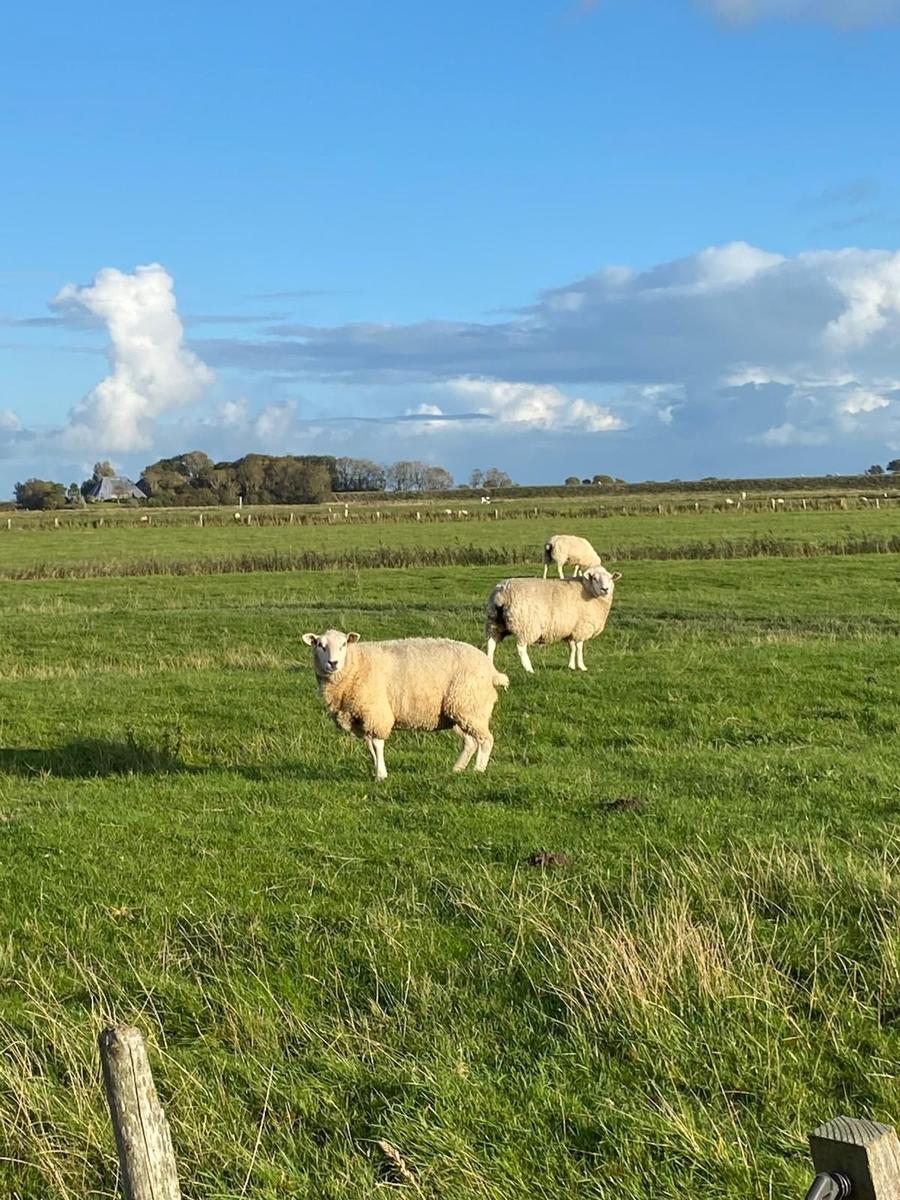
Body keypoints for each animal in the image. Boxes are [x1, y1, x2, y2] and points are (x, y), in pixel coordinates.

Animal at [302, 629, 509, 779]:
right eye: (320, 645)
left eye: (344, 644)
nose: (333, 663)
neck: (356, 664)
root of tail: (492, 671)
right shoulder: (363, 718)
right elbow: (370, 747)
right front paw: (377, 769)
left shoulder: (376, 712)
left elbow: (377, 744)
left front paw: (381, 775)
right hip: (459, 712)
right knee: (470, 742)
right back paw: (457, 769)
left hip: (470, 706)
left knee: (486, 740)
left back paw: (478, 770)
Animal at [485, 565, 621, 674]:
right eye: (595, 578)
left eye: (610, 578)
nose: (605, 589)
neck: (588, 590)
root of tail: (502, 592)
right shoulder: (581, 627)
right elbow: (579, 647)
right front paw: (582, 666)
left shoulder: (570, 629)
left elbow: (572, 648)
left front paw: (571, 666)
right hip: (525, 626)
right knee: (521, 648)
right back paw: (529, 669)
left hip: (494, 622)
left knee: (491, 644)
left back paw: (489, 665)